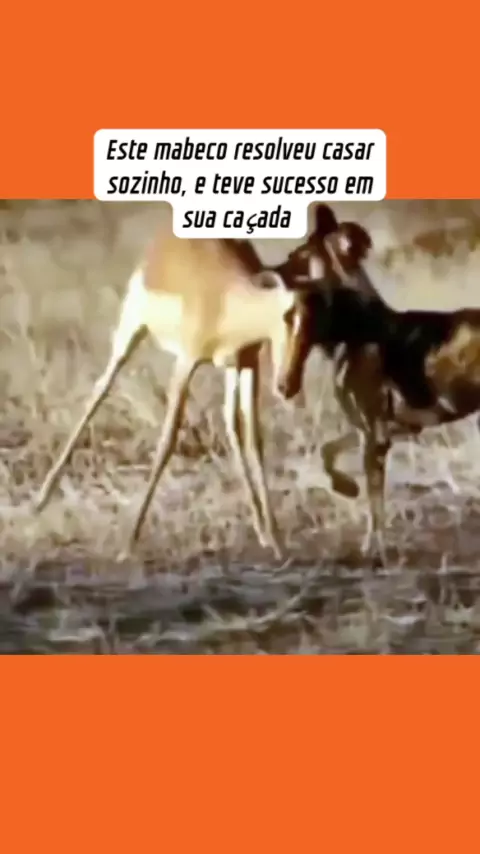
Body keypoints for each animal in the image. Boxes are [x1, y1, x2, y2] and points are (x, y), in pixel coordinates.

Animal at [276, 218, 480, 564]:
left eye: (297, 257)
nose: (271, 271)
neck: (357, 328)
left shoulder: (376, 437)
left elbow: (375, 509)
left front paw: (374, 551)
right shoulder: (373, 432)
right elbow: (327, 453)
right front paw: (345, 487)